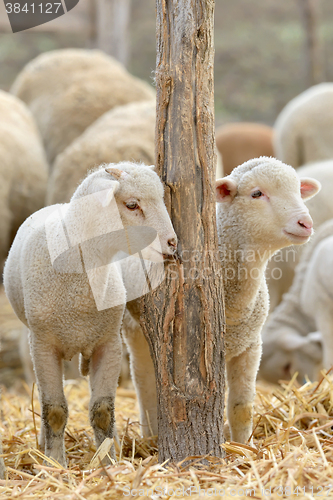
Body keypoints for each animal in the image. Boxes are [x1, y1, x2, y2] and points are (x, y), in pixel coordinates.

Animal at [3, 162, 176, 466]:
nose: (172, 243)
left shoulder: (108, 344)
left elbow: (103, 410)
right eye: (132, 205)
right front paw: (55, 463)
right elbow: (54, 410)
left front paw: (108, 461)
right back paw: (43, 444)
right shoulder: (44, 346)